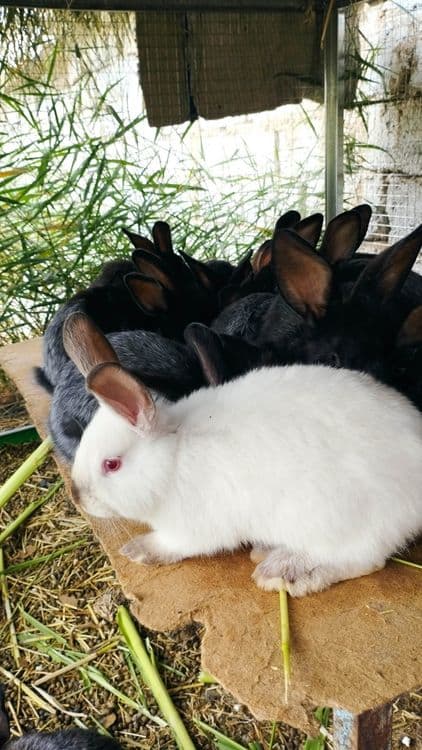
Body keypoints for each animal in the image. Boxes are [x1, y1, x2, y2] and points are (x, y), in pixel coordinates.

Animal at [64, 312, 422, 598]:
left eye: (111, 464)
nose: (78, 497)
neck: (174, 457)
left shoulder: (193, 528)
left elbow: (174, 544)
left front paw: (138, 550)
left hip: (339, 520)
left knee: (363, 560)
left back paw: (283, 571)